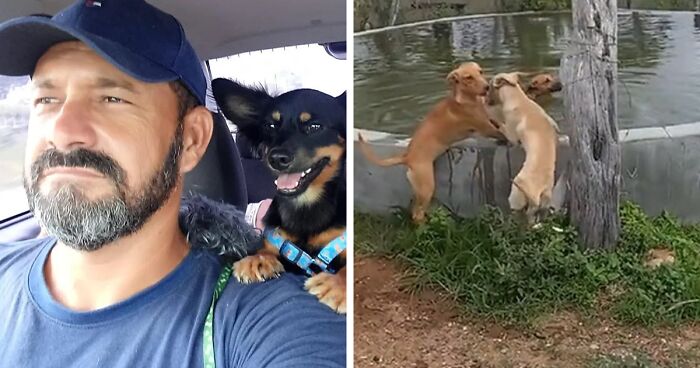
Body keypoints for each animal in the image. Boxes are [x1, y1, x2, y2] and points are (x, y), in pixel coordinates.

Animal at [211, 78, 348, 314]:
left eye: (314, 127)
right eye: (271, 125)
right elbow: (266, 248)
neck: (305, 204)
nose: (276, 158)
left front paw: (337, 285)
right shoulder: (279, 240)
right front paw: (257, 259)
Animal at [358, 61, 506, 223]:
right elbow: (501, 132)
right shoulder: (486, 128)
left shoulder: (490, 120)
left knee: (414, 208)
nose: (487, 87)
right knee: (417, 214)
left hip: (420, 190)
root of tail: (407, 157)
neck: (465, 99)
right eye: (468, 77)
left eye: (480, 72)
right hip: (427, 186)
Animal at [486, 71, 556, 221]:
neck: (518, 98)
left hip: (515, 197)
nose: (485, 100)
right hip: (544, 202)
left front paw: (493, 120)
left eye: (489, 87)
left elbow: (501, 126)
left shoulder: (511, 134)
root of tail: (536, 194)